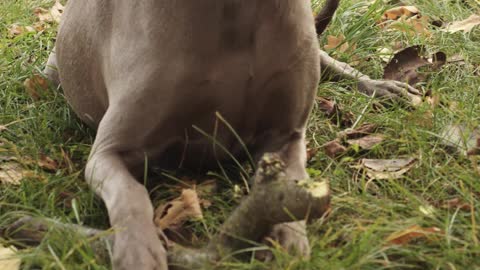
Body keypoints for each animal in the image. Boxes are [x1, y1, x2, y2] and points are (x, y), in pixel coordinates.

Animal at [44, 1, 420, 268]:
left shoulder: (286, 136)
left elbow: (290, 187)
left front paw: (289, 239)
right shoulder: (109, 151)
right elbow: (131, 194)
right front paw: (138, 251)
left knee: (327, 59)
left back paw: (384, 87)